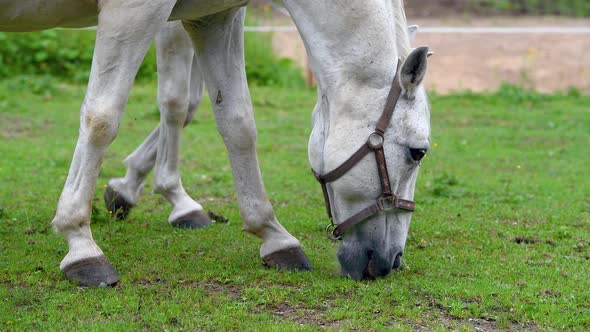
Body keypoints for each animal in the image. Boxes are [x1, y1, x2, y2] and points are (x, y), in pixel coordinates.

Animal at [2, 0, 432, 286]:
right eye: (417, 152)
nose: (392, 261)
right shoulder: (137, 12)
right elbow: (106, 117)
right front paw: (80, 241)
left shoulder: (211, 15)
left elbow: (235, 121)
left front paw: (273, 236)